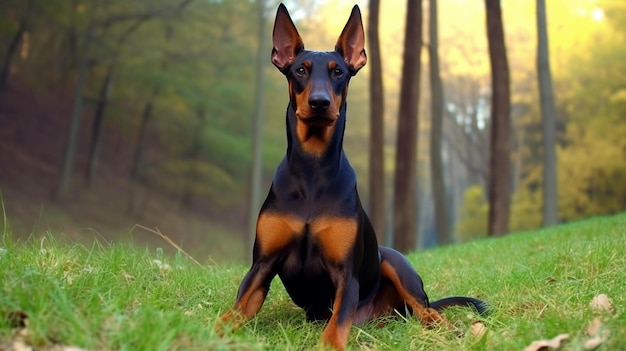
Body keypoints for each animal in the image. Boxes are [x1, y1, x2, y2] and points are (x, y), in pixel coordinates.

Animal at [217, 4, 486, 350]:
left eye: (338, 72)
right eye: (300, 70)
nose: (319, 102)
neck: (312, 169)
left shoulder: (346, 274)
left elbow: (336, 326)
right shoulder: (262, 264)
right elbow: (235, 311)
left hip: (395, 263)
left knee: (427, 309)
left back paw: (450, 329)